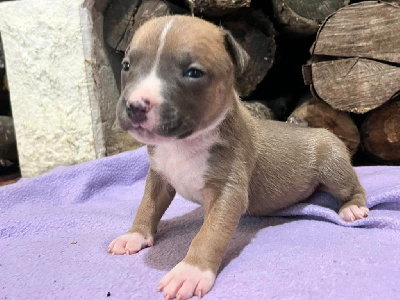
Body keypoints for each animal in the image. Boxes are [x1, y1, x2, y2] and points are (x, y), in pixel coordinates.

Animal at [108, 15, 368, 300]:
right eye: (126, 65)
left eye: (193, 73)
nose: (135, 106)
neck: (183, 145)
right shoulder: (158, 176)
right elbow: (147, 206)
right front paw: (134, 235)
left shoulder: (227, 191)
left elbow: (209, 233)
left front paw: (190, 271)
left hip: (332, 164)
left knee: (353, 187)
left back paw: (353, 207)